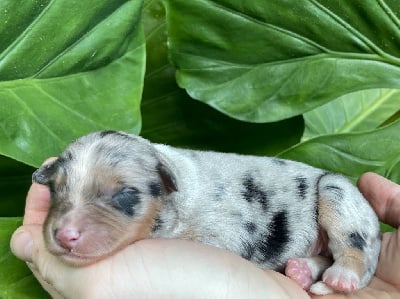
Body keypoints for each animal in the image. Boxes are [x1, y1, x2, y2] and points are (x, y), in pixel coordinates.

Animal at [32, 131, 380, 296]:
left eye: (125, 194)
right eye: (55, 190)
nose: (64, 235)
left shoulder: (227, 232)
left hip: (338, 193)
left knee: (356, 252)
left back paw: (340, 276)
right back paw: (301, 271)